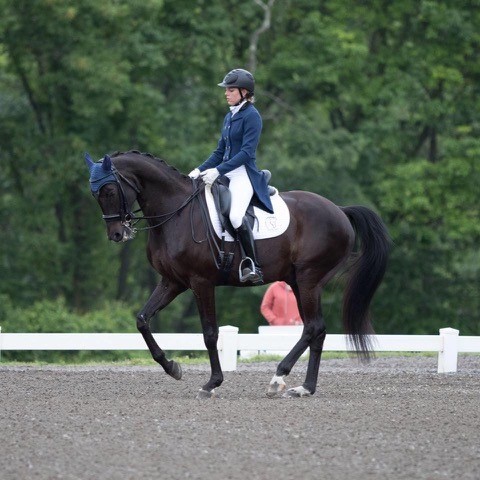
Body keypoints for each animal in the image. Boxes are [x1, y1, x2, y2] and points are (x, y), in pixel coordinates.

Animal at [85, 150, 390, 399]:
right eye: (95, 194)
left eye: (109, 191)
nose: (117, 234)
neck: (176, 212)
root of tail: (339, 210)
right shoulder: (173, 282)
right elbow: (142, 320)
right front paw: (172, 367)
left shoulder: (201, 282)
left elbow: (210, 334)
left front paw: (211, 384)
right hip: (299, 281)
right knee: (317, 330)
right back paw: (304, 388)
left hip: (309, 279)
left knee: (313, 328)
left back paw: (278, 378)